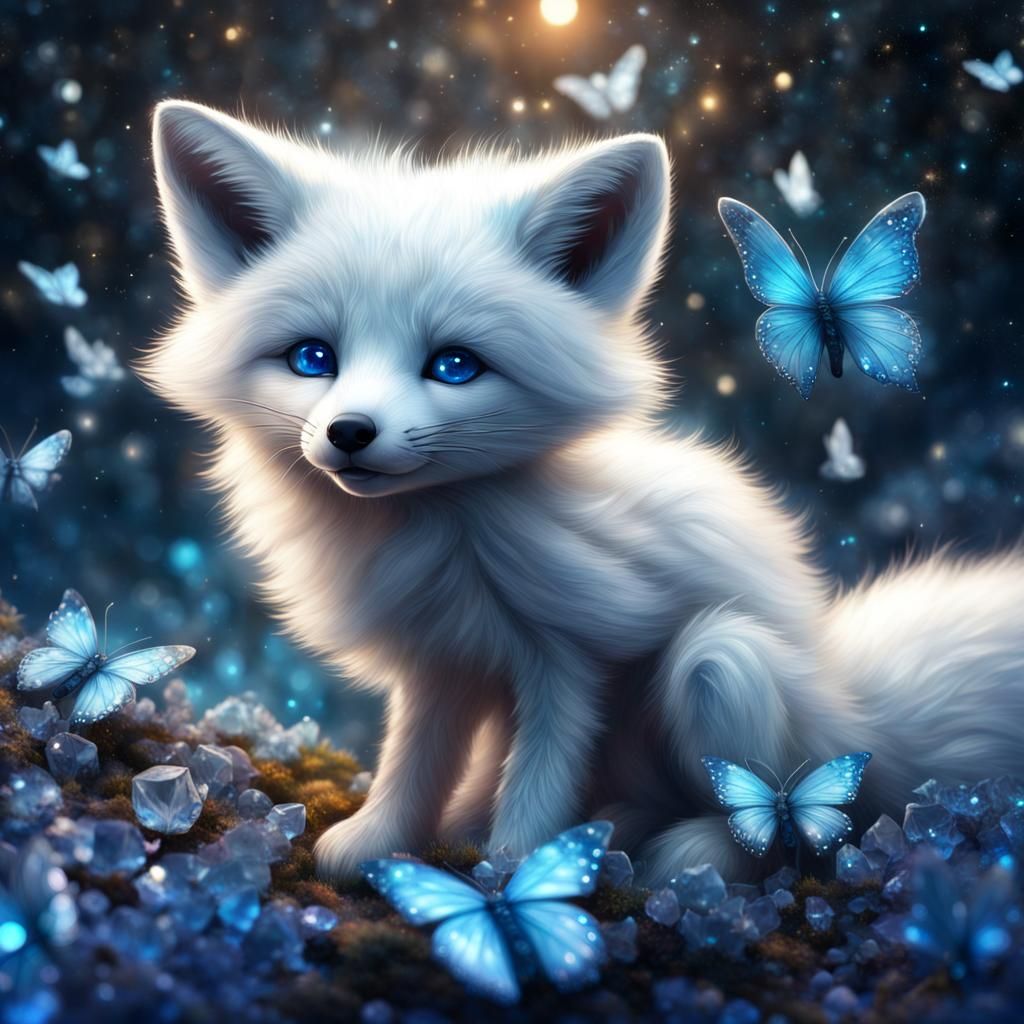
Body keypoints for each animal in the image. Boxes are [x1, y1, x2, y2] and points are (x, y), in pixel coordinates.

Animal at [143, 99, 1024, 885]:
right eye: (312, 358)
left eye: (454, 365)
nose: (350, 432)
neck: (443, 532)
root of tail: (854, 708)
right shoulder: (440, 662)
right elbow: (413, 762)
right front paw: (379, 845)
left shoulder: (573, 654)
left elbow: (541, 779)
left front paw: (516, 877)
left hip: (722, 662)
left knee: (790, 825)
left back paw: (688, 853)